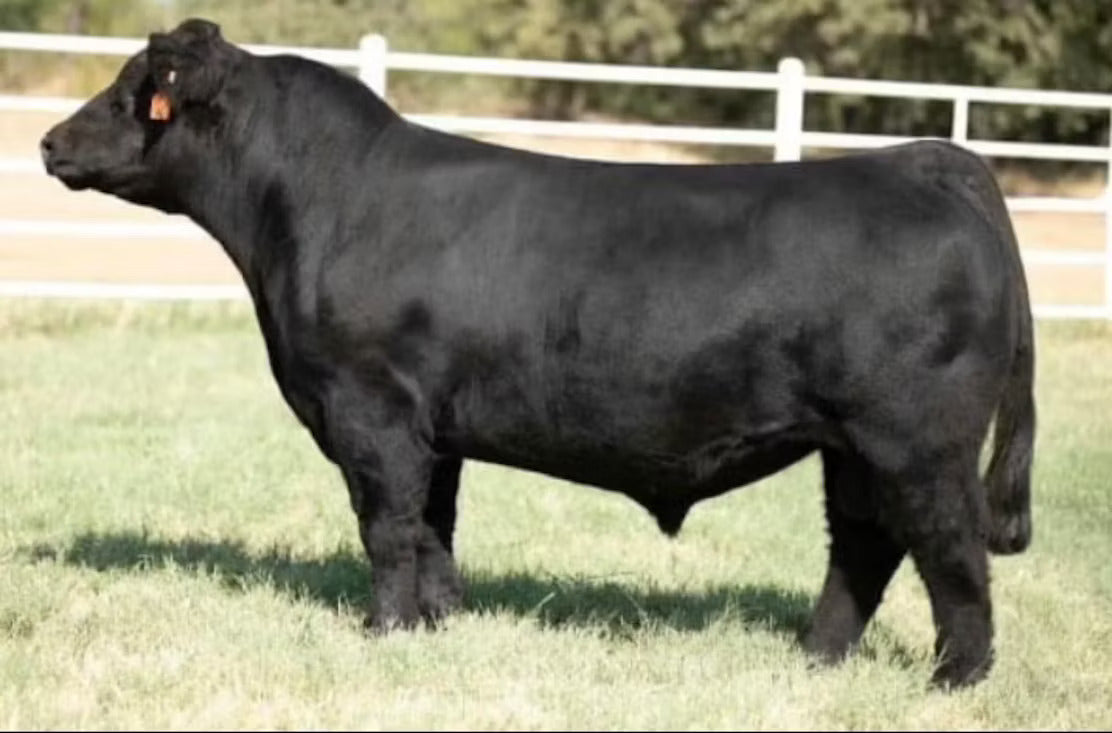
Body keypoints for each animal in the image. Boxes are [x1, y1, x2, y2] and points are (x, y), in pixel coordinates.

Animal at [41, 19, 1035, 688]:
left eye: (133, 90)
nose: (49, 141)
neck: (312, 208)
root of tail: (923, 160)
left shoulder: (371, 412)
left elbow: (387, 527)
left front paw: (382, 631)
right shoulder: (432, 428)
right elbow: (434, 528)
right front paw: (440, 625)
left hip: (916, 438)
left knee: (949, 548)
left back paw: (954, 678)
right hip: (850, 444)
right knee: (863, 544)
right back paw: (815, 657)